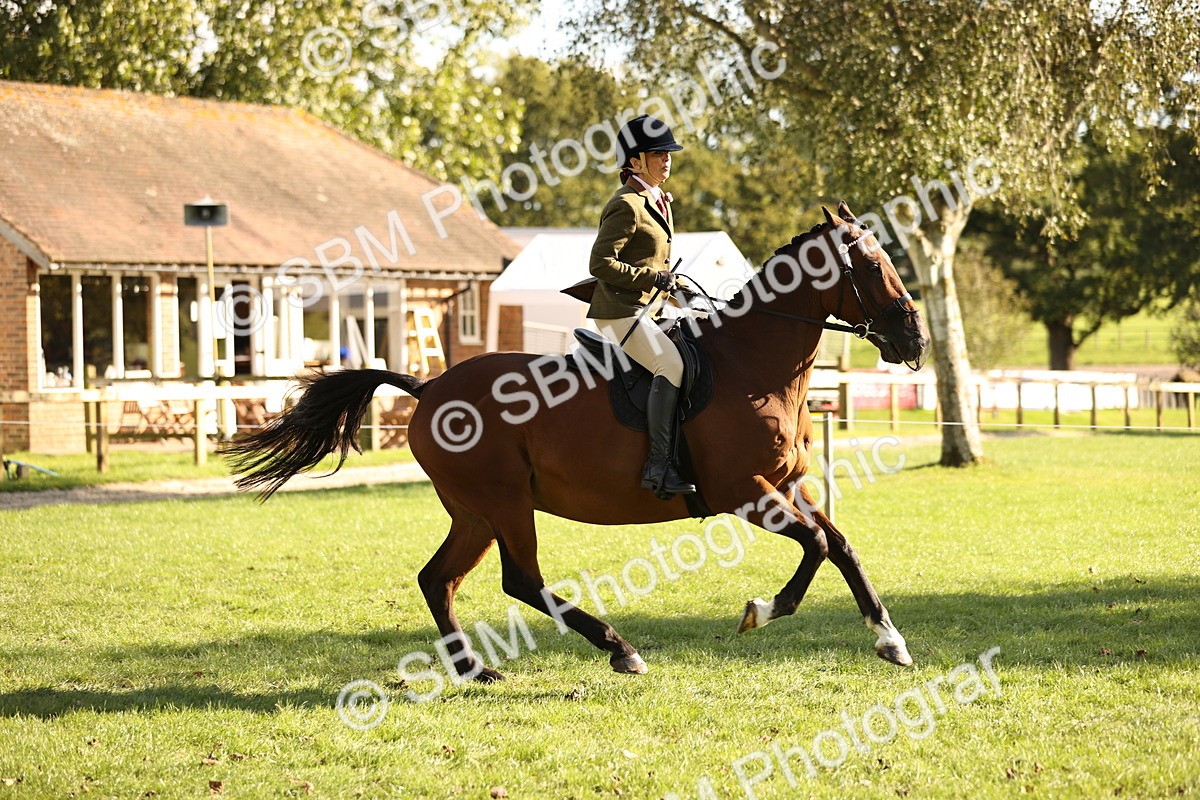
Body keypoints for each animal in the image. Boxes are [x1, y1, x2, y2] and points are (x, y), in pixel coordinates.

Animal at [223, 201, 930, 682]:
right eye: (872, 264)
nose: (915, 340)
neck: (753, 363)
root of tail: (427, 388)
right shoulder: (742, 490)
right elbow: (817, 545)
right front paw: (763, 608)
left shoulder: (786, 484)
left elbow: (840, 544)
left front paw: (889, 639)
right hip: (505, 501)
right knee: (520, 580)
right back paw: (621, 650)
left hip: (474, 510)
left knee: (438, 579)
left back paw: (475, 668)